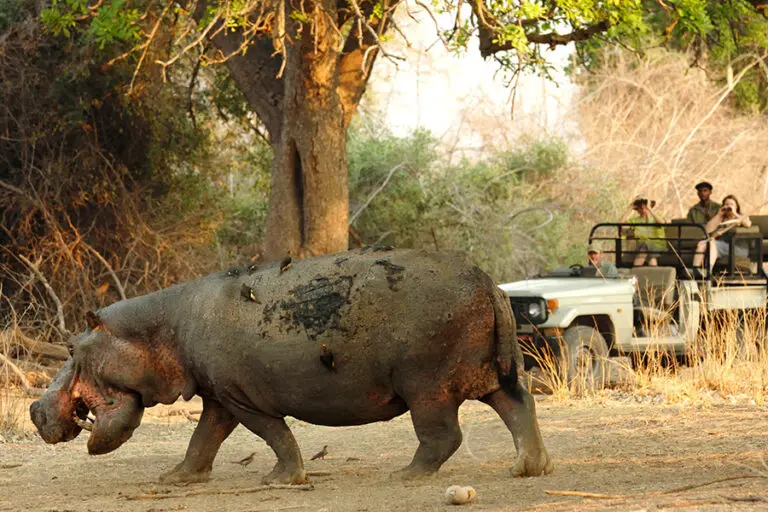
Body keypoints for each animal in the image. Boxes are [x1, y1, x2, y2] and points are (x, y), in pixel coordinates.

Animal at [30, 248, 553, 484]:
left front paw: (280, 481)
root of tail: (489, 281)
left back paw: (405, 475)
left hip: (426, 385)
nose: (36, 409)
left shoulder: (242, 398)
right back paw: (530, 468)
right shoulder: (219, 396)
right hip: (490, 374)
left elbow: (274, 434)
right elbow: (203, 439)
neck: (159, 329)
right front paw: (174, 479)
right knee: (518, 407)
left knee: (444, 434)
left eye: (73, 347)